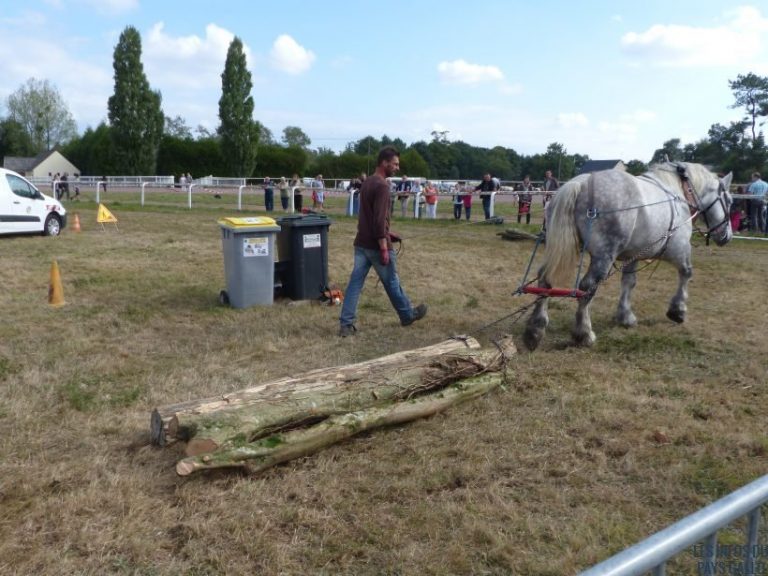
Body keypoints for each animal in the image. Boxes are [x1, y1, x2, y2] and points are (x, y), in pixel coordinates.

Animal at [522, 162, 733, 351]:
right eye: (730, 201)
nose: (727, 236)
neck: (680, 193)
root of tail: (582, 183)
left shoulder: (634, 255)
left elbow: (628, 282)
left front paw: (625, 316)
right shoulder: (678, 249)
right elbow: (686, 273)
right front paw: (677, 310)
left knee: (545, 279)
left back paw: (535, 329)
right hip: (603, 257)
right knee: (587, 288)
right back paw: (584, 333)